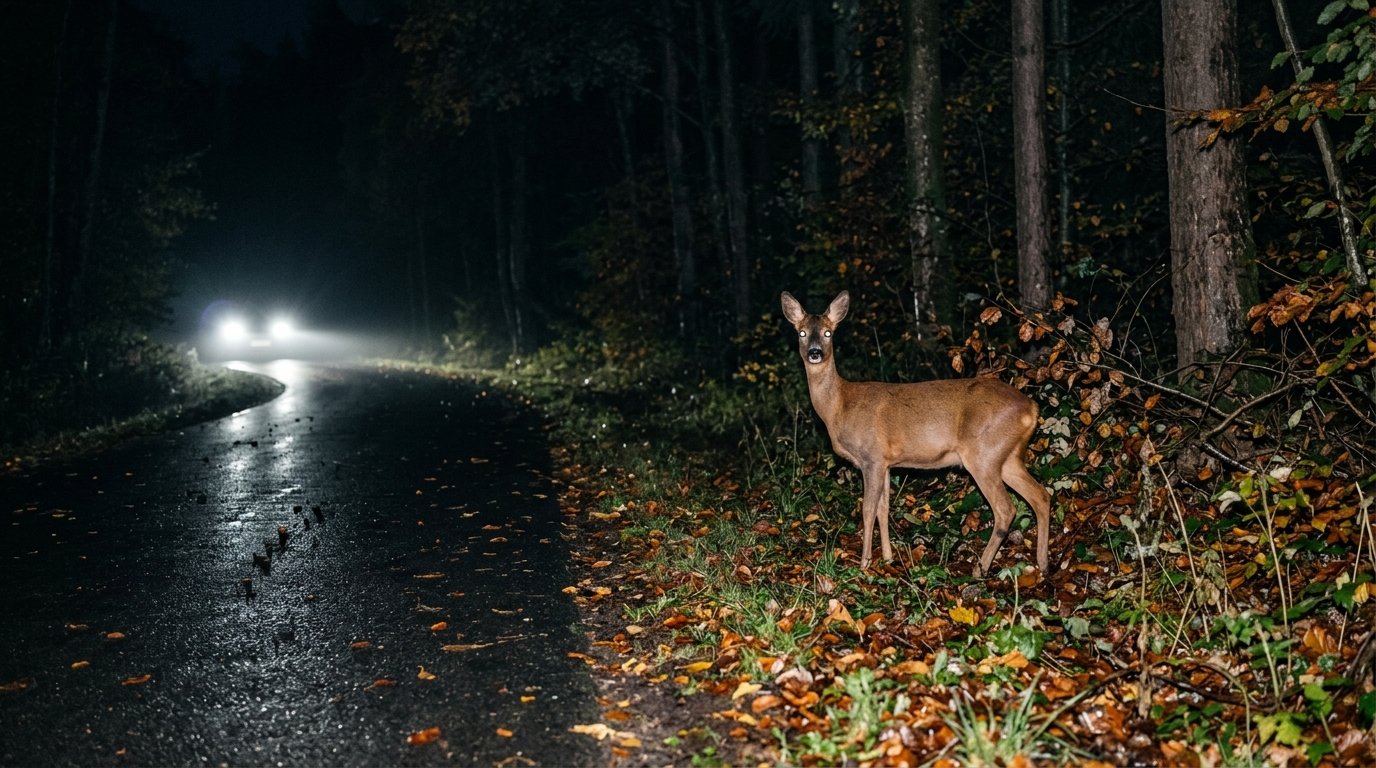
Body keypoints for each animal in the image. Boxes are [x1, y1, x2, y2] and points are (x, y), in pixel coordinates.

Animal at [780, 290, 1051, 578]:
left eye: (828, 333)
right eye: (802, 332)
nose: (815, 353)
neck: (839, 407)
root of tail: (1031, 408)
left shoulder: (871, 457)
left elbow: (867, 509)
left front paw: (864, 563)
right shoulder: (886, 463)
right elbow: (883, 508)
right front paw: (888, 558)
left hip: (983, 454)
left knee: (1005, 508)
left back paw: (981, 569)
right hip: (1007, 456)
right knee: (1041, 496)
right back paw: (1043, 564)